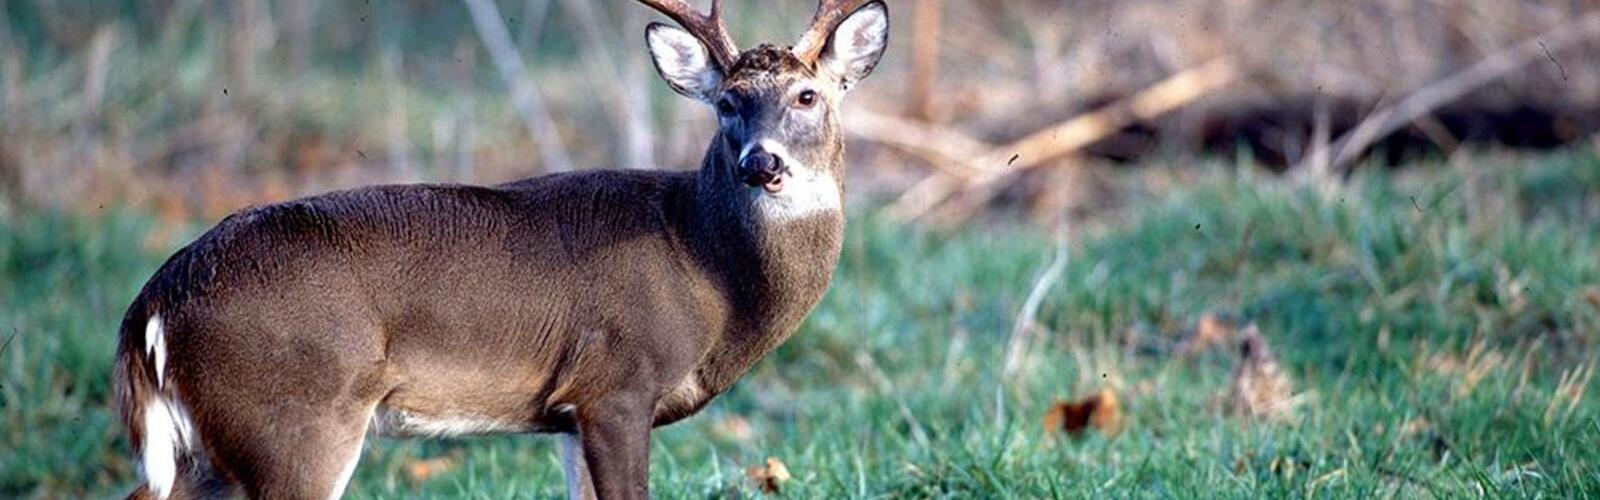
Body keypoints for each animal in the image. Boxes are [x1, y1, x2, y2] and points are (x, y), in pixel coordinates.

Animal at [112, 1, 888, 498]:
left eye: (808, 96)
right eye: (727, 103)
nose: (762, 163)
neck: (705, 263)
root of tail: (153, 303)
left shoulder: (569, 415)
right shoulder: (616, 381)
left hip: (210, 447)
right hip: (294, 417)